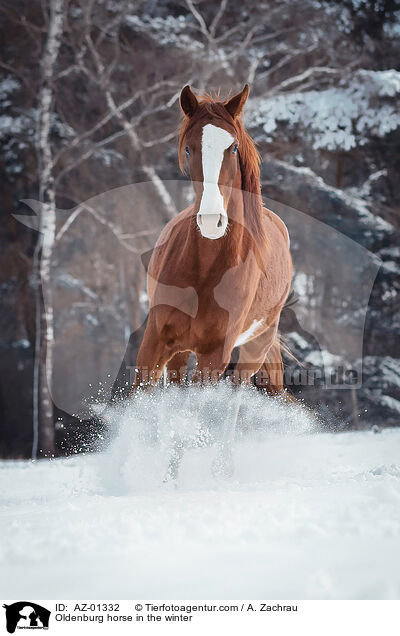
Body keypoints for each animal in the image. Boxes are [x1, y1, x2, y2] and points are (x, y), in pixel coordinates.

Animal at [130, 82, 290, 474]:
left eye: (232, 147)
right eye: (190, 148)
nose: (212, 221)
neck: (206, 270)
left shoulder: (215, 355)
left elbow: (189, 422)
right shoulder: (156, 341)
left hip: (252, 350)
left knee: (234, 399)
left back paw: (221, 469)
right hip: (178, 352)